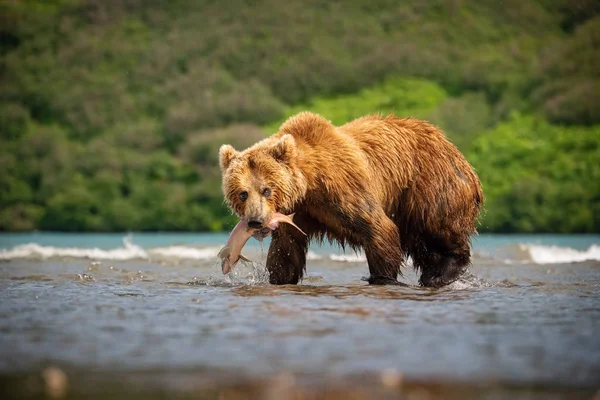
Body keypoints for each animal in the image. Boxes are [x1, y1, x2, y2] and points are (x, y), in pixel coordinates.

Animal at [219, 111, 482, 288]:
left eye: (266, 190)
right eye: (242, 193)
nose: (255, 221)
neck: (309, 182)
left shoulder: (342, 189)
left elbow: (378, 229)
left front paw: (381, 278)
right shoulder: (297, 213)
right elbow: (286, 250)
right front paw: (279, 278)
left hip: (428, 182)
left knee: (437, 224)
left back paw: (439, 273)